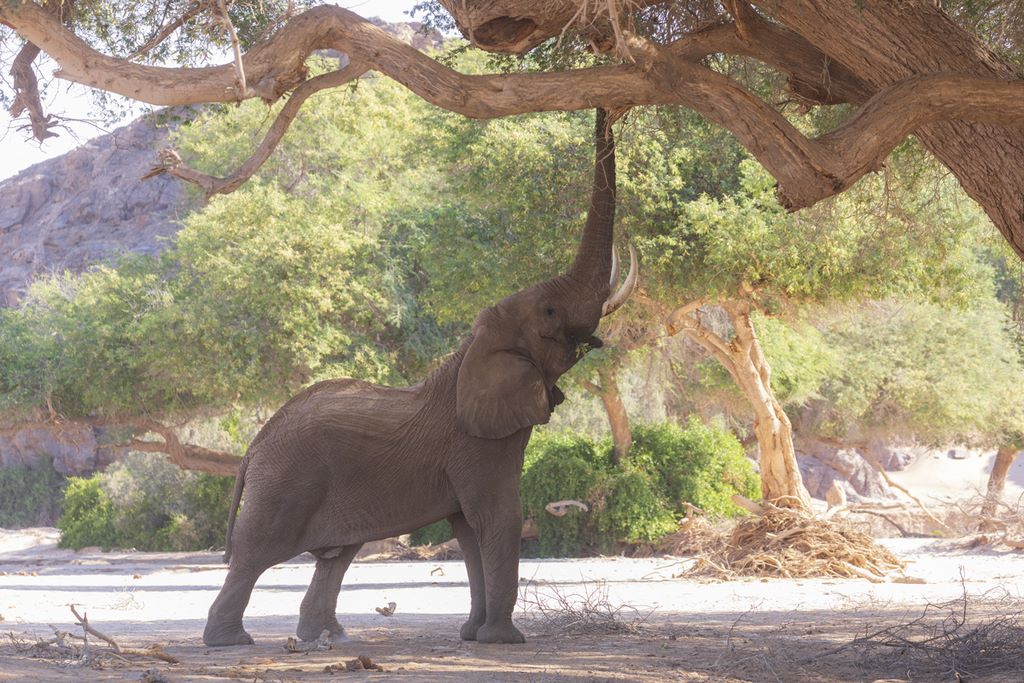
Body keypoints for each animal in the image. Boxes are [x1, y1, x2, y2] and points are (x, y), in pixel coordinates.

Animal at [202, 108, 636, 647]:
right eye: (550, 312)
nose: (608, 108)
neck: (469, 353)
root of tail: (256, 444)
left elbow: (469, 529)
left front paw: (473, 636)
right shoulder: (476, 443)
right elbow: (497, 517)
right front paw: (503, 641)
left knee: (336, 554)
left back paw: (331, 638)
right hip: (285, 479)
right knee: (257, 552)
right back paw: (231, 641)